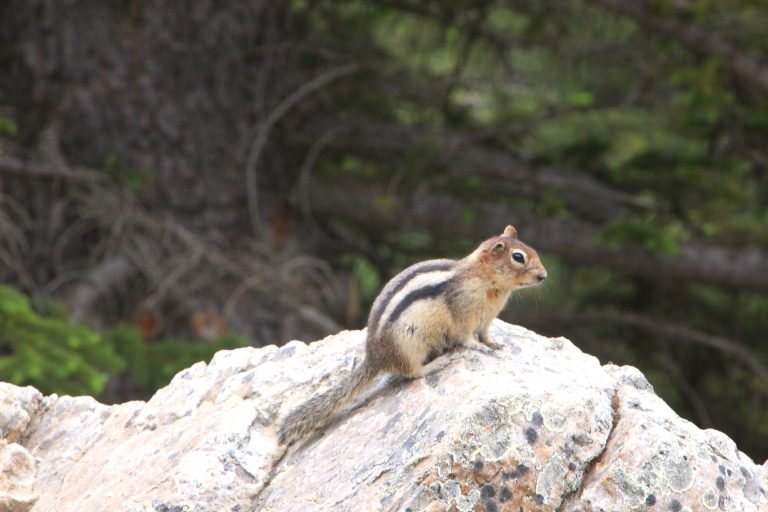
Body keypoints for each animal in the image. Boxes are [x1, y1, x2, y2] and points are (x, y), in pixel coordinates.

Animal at [278, 225, 547, 446]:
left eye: (533, 250)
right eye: (518, 257)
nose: (543, 276)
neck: (485, 279)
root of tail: (374, 357)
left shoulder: (487, 319)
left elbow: (486, 334)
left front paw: (494, 344)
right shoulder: (464, 315)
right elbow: (467, 338)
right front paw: (479, 347)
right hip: (408, 346)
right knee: (411, 373)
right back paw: (437, 363)